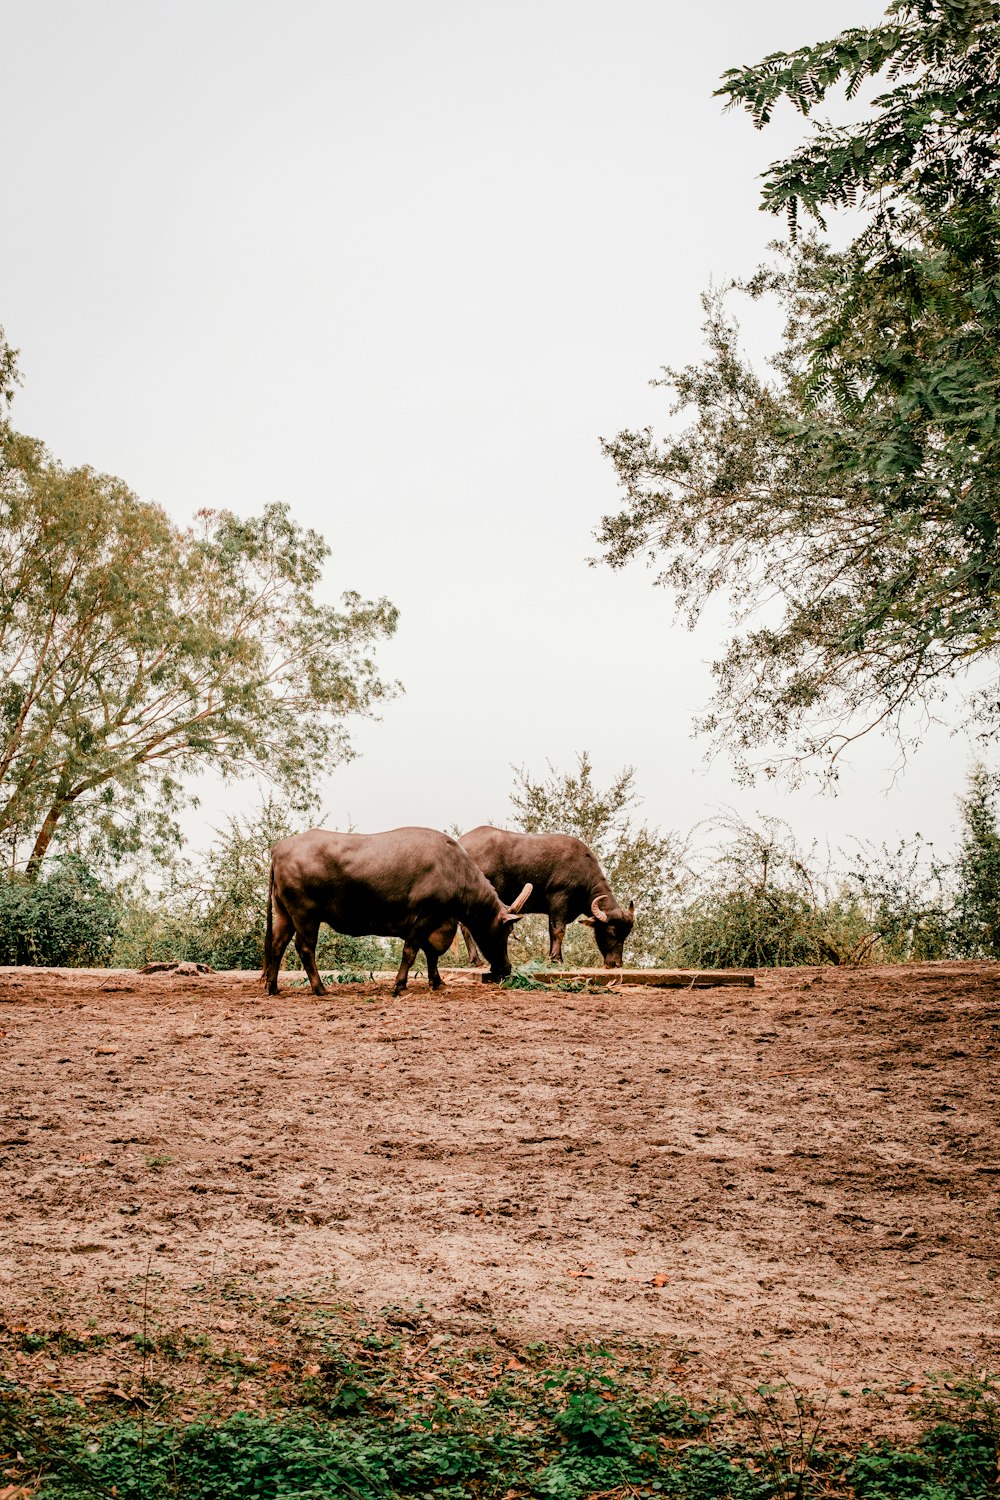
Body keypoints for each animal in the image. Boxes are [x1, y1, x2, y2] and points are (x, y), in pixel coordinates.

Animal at [263, 834, 530, 996]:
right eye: (506, 929)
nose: (506, 968)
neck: (455, 870)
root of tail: (279, 848)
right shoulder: (424, 918)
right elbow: (411, 953)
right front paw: (400, 985)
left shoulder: (438, 923)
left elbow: (432, 956)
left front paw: (437, 982)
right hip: (305, 915)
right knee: (305, 948)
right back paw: (319, 988)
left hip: (284, 913)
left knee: (277, 945)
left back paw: (273, 986)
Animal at [455, 828, 632, 966]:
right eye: (611, 932)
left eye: (625, 935)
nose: (616, 963)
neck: (584, 871)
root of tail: (461, 843)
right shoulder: (560, 897)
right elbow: (559, 930)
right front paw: (557, 959)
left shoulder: (553, 909)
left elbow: (551, 931)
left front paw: (553, 957)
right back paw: (476, 960)